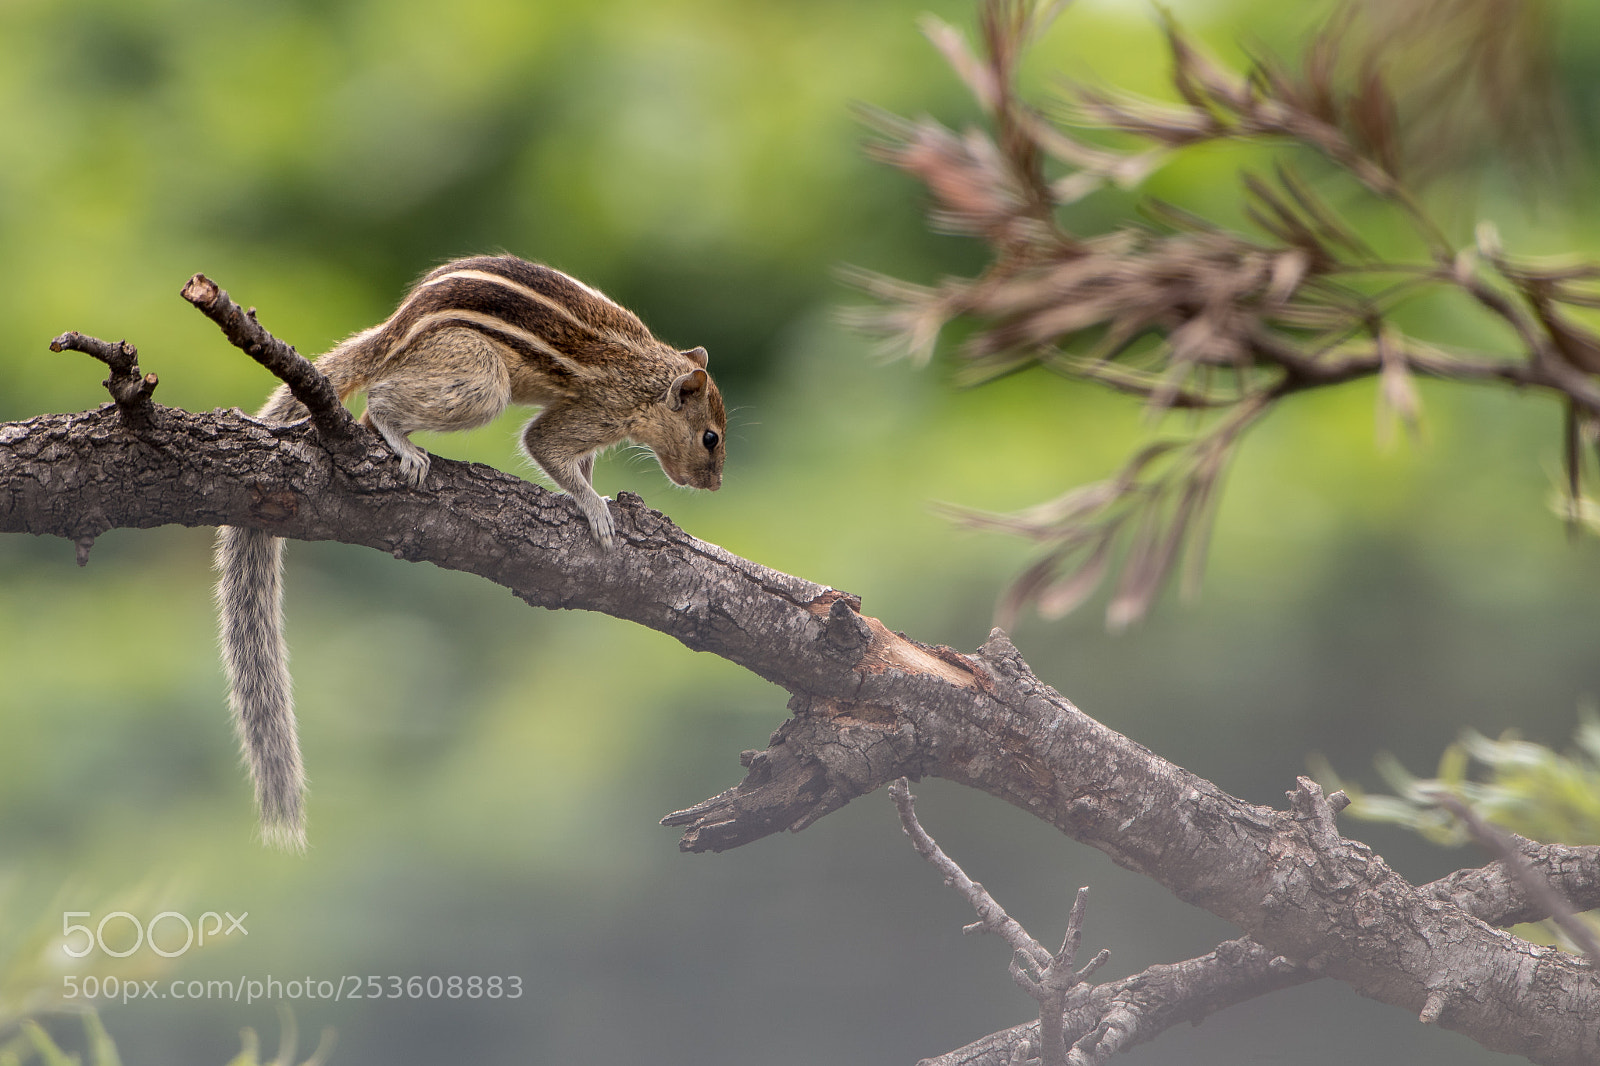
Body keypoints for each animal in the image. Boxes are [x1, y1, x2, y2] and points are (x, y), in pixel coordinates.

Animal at [215, 254, 727, 849]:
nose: (715, 485)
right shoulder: (595, 409)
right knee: (379, 402)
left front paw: (594, 495)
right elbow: (545, 446)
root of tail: (391, 330)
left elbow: (578, 463)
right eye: (710, 438)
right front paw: (594, 509)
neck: (646, 375)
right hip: (478, 380)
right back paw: (404, 445)